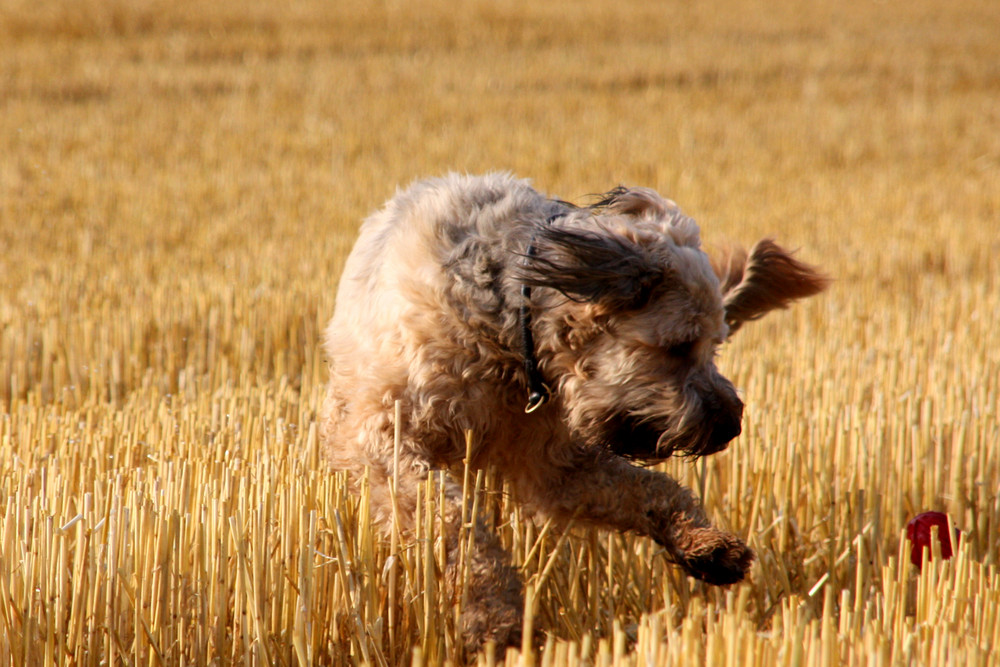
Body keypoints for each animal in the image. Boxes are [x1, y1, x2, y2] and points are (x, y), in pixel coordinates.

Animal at [322, 174, 828, 656]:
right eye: (679, 345)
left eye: (715, 344)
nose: (730, 424)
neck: (507, 328)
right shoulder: (385, 434)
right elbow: (452, 520)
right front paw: (493, 615)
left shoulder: (553, 465)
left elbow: (650, 488)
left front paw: (706, 545)